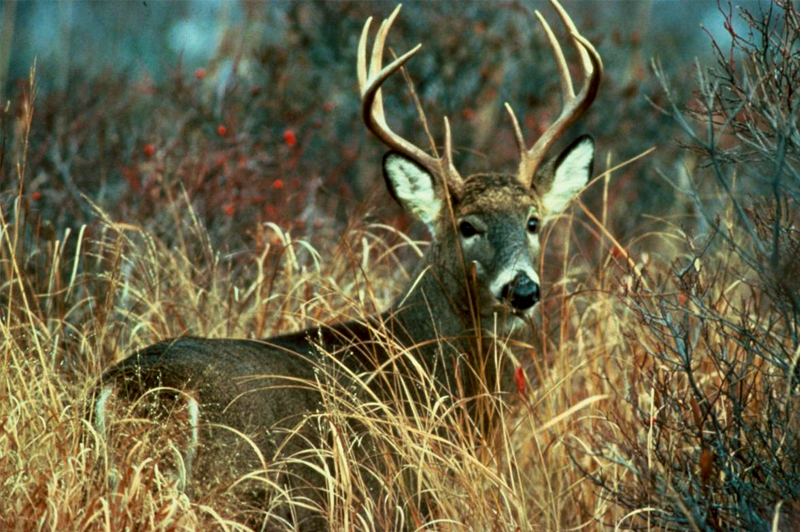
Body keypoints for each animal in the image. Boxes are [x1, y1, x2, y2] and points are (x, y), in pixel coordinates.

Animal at [94, 1, 601, 529]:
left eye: (533, 221)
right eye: (467, 226)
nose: (522, 290)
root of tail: (143, 390)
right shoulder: (401, 495)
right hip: (236, 491)